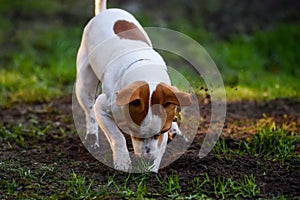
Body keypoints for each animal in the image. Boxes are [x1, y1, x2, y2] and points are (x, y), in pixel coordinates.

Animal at [76, 0, 191, 172]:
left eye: (161, 131)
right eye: (134, 131)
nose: (147, 160)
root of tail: (104, 12)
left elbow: (161, 146)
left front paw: (153, 168)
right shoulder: (102, 108)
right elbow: (117, 137)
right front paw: (122, 161)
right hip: (84, 83)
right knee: (89, 112)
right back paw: (91, 138)